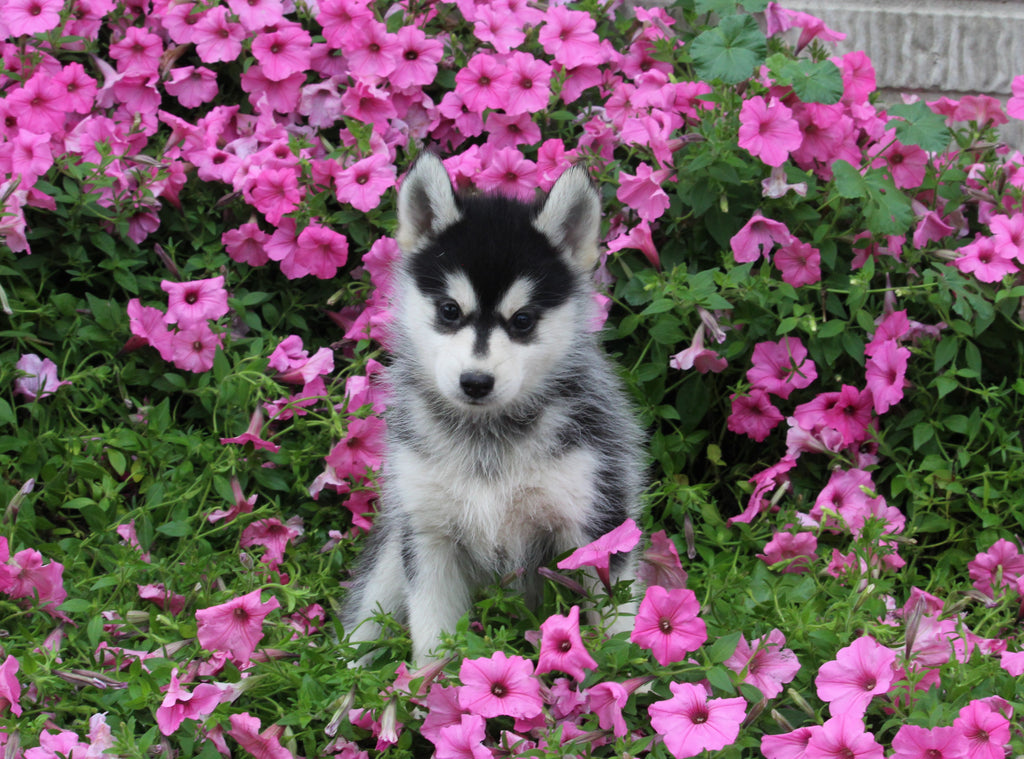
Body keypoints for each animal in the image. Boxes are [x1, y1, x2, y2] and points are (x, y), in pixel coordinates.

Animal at [346, 153, 647, 663]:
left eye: (522, 320)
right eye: (449, 310)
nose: (475, 381)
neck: (487, 436)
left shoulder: (596, 520)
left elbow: (615, 622)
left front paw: (625, 673)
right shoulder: (427, 535)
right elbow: (434, 636)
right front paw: (428, 686)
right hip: (388, 560)